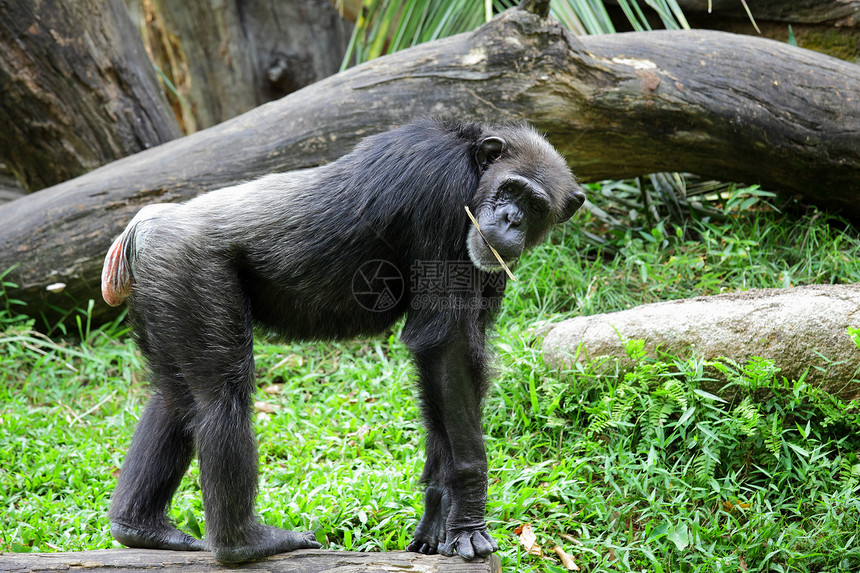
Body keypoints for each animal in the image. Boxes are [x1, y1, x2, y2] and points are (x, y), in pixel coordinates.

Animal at [102, 117, 584, 564]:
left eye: (535, 205)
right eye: (511, 189)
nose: (511, 219)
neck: (471, 166)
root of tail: (141, 228)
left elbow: (458, 369)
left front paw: (437, 516)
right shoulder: (441, 190)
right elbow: (443, 345)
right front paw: (468, 516)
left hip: (162, 287)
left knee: (175, 398)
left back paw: (141, 527)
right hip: (192, 270)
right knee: (221, 398)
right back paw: (245, 543)